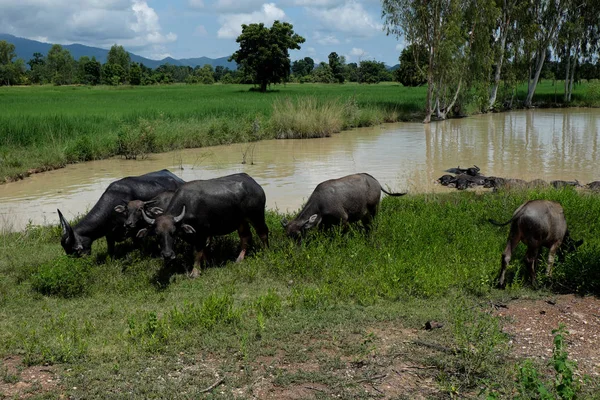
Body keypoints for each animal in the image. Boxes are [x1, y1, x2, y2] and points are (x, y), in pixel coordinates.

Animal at [138, 172, 270, 278]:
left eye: (173, 233)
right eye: (157, 234)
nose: (167, 255)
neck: (187, 206)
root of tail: (254, 184)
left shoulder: (201, 233)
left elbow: (198, 251)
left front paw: (195, 272)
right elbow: (204, 249)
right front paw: (207, 263)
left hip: (256, 216)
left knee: (263, 232)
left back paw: (266, 252)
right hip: (241, 221)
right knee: (245, 236)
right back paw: (239, 259)